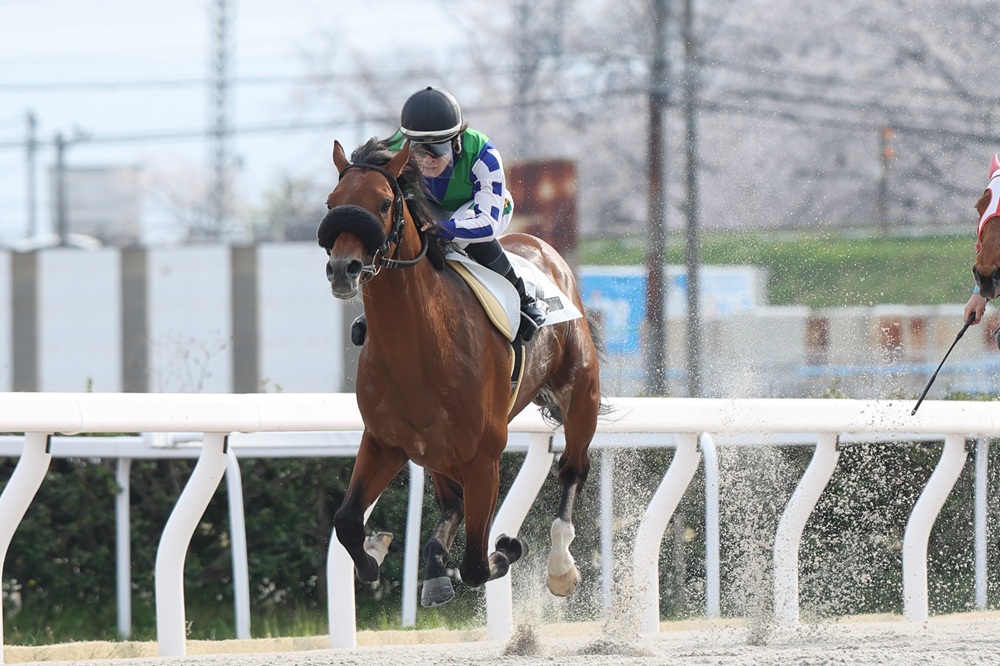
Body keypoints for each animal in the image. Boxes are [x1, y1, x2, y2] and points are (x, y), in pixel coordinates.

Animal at [317, 137, 605, 607]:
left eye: (383, 203)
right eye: (332, 202)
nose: (344, 269)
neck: (419, 352)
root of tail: (545, 251)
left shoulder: (484, 456)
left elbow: (476, 563)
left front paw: (505, 549)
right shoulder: (384, 442)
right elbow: (346, 521)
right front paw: (375, 556)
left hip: (581, 397)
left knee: (573, 468)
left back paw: (561, 567)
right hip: (435, 450)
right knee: (451, 503)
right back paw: (434, 566)